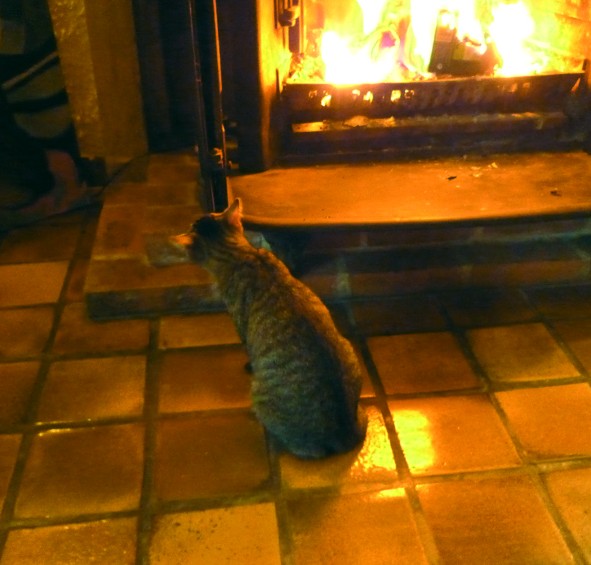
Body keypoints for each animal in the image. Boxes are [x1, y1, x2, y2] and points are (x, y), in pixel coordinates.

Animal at [172, 198, 367, 459]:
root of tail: (343, 434)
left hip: (259, 396)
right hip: (348, 349)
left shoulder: (240, 324)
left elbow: (247, 348)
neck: (240, 255)